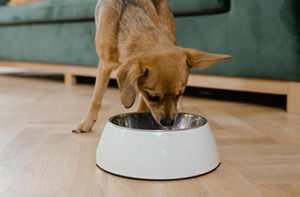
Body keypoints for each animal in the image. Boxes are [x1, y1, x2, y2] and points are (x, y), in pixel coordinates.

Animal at [71, 0, 231, 132]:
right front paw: (86, 123)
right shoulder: (105, 64)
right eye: (152, 97)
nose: (168, 122)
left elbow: (141, 103)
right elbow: (96, 98)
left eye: (179, 94)